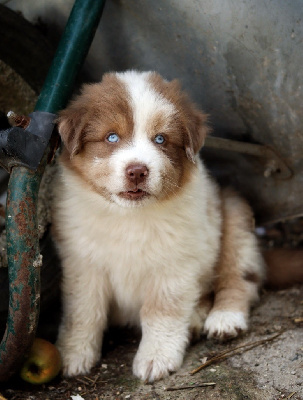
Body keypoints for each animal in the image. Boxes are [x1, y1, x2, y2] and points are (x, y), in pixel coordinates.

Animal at [52, 70, 266, 382]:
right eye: (112, 137)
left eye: (161, 139)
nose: (137, 171)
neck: (129, 217)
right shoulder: (83, 261)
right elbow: (83, 310)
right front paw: (72, 354)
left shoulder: (173, 265)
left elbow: (161, 311)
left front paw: (156, 359)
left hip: (234, 217)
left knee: (239, 278)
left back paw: (223, 319)